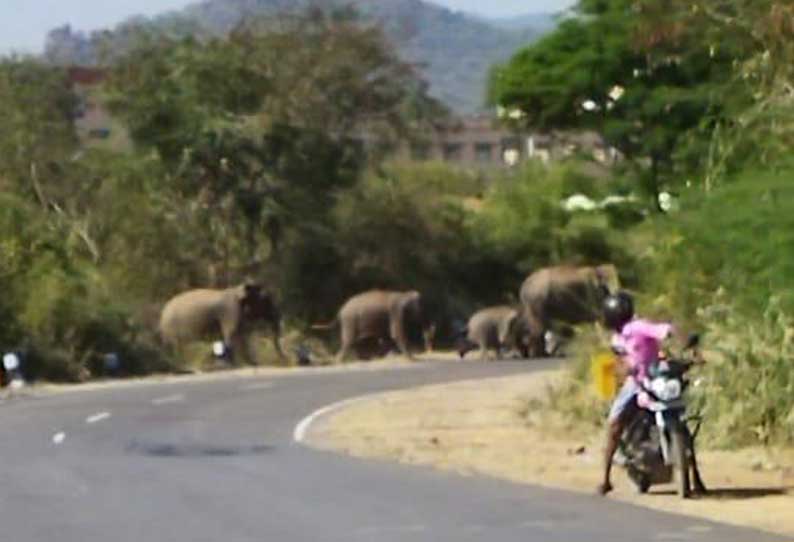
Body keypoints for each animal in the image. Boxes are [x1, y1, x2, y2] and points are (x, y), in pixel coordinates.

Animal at [156, 284, 284, 366]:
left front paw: (252, 363)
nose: (284, 360)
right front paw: (235, 365)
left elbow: (242, 336)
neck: (238, 289)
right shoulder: (230, 311)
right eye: (265, 299)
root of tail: (162, 314)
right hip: (172, 330)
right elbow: (232, 334)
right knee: (177, 347)